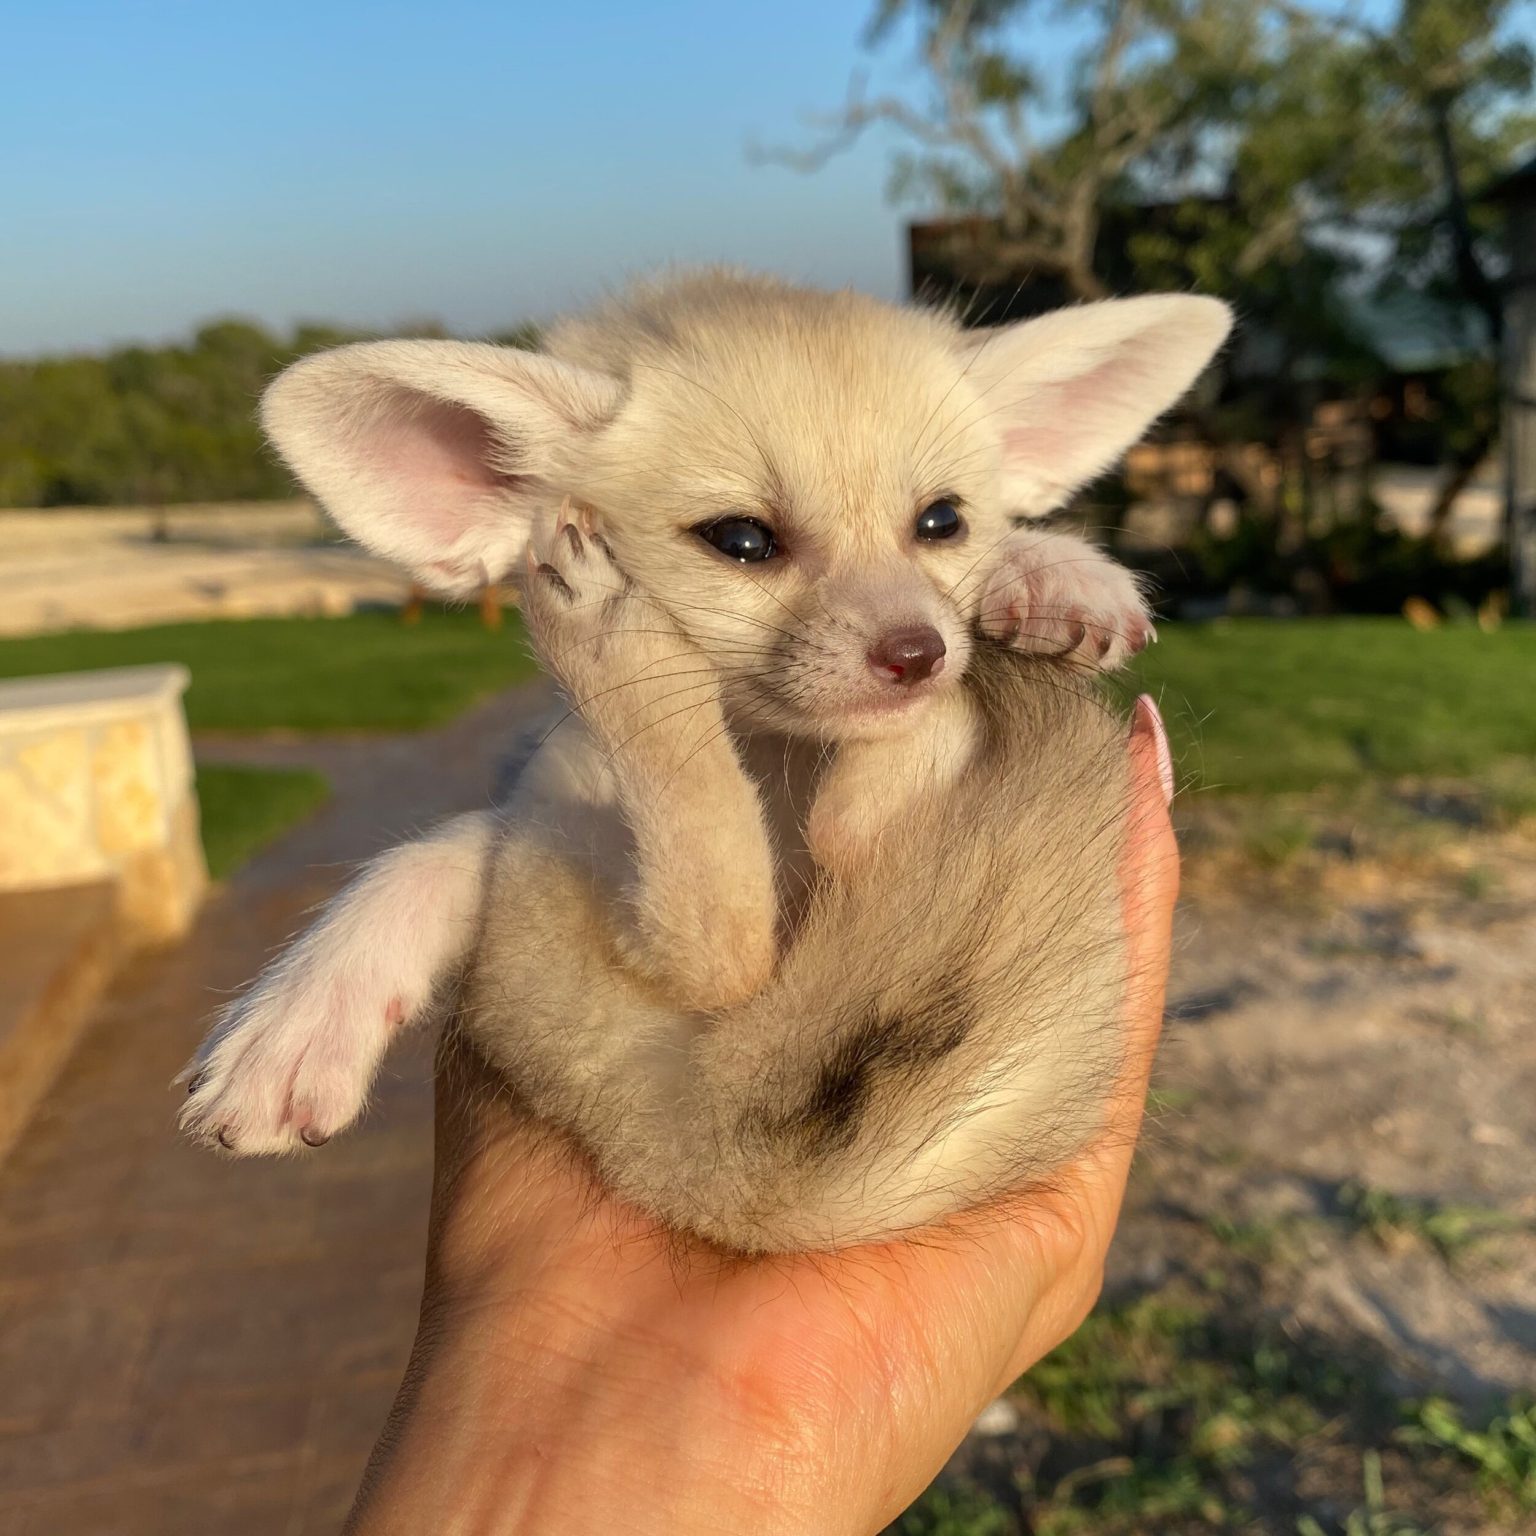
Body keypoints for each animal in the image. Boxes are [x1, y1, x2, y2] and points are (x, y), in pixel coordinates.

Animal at [179, 270, 1229, 1253]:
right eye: (742, 540)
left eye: (942, 522)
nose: (919, 652)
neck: (778, 754)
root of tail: (716, 1158)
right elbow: (435, 851)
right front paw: (302, 1015)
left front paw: (1051, 571)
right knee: (716, 930)